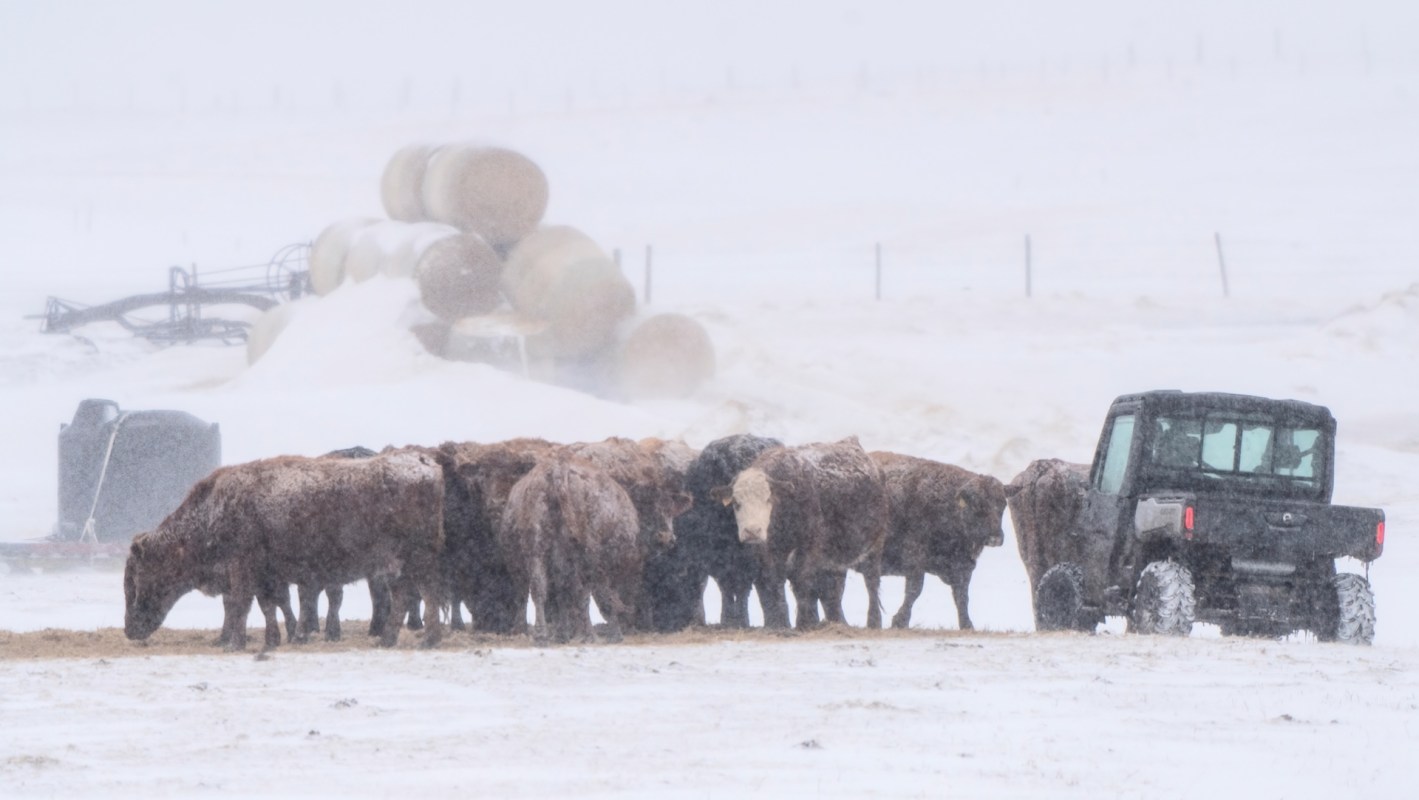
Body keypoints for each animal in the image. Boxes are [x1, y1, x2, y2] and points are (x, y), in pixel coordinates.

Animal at [124, 451, 446, 650]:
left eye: (136, 580)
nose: (130, 630)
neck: (214, 512)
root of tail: (427, 463)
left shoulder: (242, 570)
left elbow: (241, 604)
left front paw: (236, 643)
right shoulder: (267, 577)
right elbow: (268, 606)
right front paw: (273, 639)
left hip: (415, 562)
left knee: (426, 594)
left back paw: (427, 640)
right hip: (398, 566)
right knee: (404, 597)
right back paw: (388, 640)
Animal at [669, 433, 783, 629]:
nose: (752, 530)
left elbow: (742, 587)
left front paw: (740, 621)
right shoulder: (715, 559)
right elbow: (727, 587)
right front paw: (728, 619)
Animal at [713, 437, 888, 630]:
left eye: (768, 499)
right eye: (736, 503)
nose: (752, 531)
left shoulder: (809, 547)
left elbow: (802, 581)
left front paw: (804, 622)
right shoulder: (769, 553)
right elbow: (774, 584)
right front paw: (781, 623)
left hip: (875, 546)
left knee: (872, 583)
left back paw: (874, 622)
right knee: (833, 591)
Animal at [870, 452, 1007, 630]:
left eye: (1003, 505)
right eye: (978, 505)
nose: (995, 537)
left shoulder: (963, 567)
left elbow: (962, 597)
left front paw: (967, 624)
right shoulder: (916, 561)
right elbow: (915, 590)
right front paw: (900, 621)